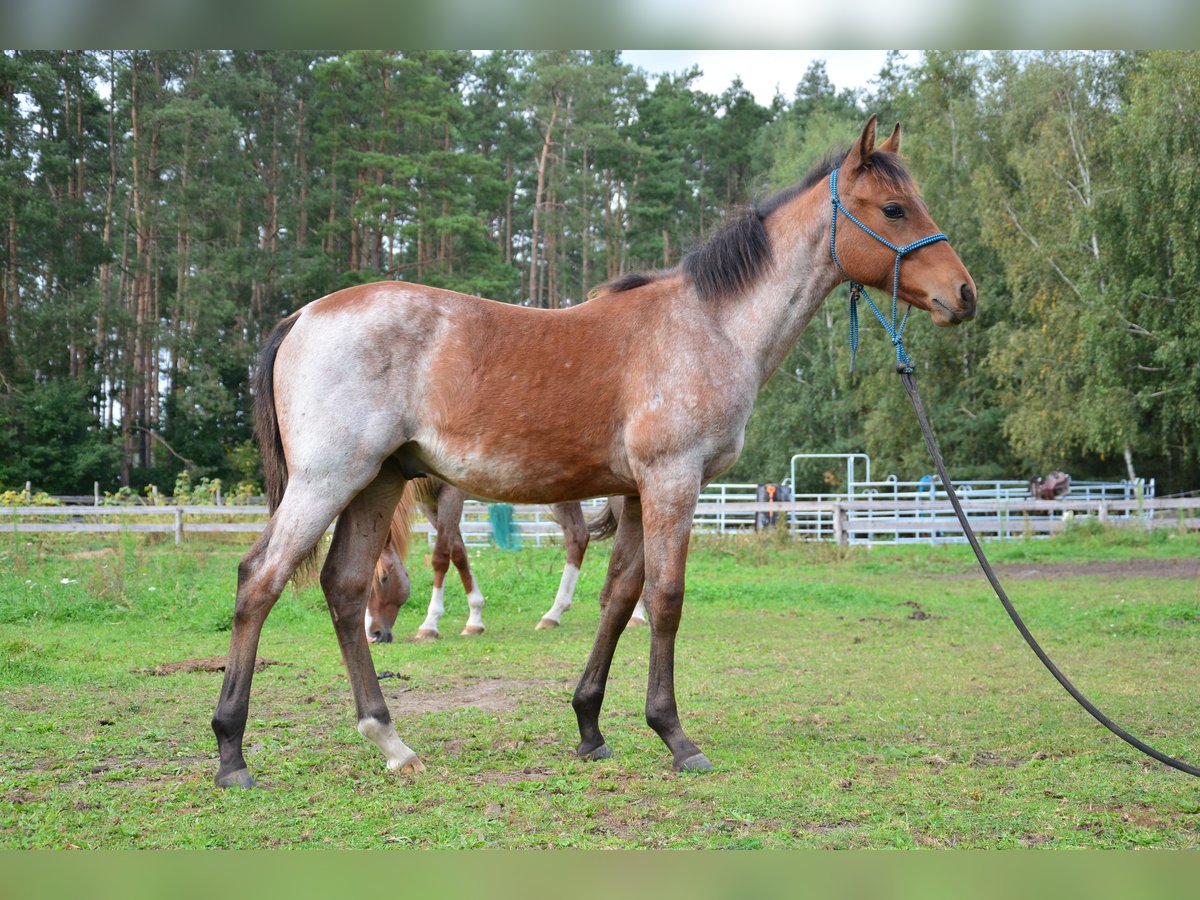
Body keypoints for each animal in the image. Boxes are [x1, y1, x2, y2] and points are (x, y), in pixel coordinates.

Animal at [362, 479, 646, 643]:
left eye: (384, 578)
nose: (373, 634)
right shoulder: (429, 503)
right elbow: (459, 553)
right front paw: (475, 619)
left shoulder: (450, 495)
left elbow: (441, 556)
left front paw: (430, 624)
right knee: (577, 536)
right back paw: (553, 613)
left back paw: (636, 613)